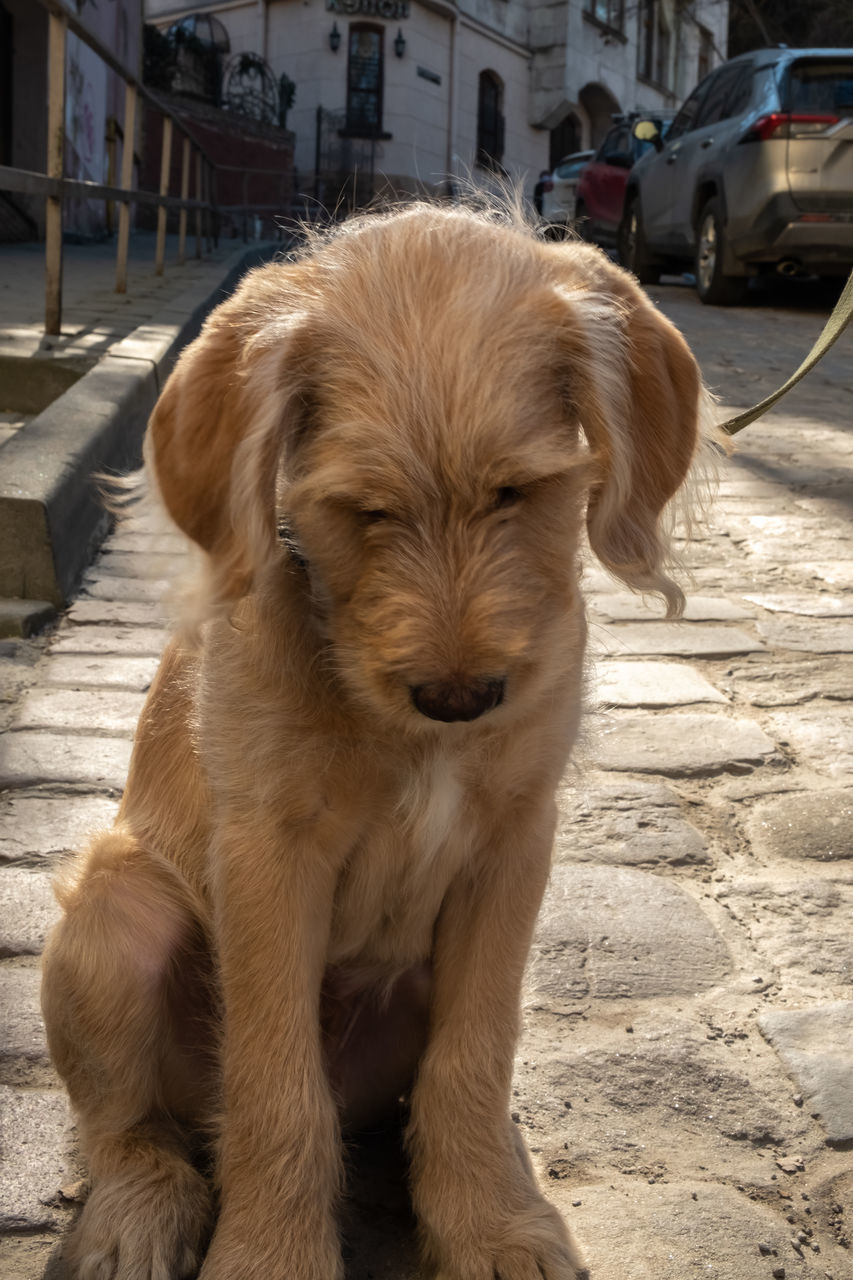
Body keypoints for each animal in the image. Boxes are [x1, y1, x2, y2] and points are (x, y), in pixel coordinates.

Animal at [44, 202, 712, 1280]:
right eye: (364, 508)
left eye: (517, 493)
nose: (460, 697)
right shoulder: (269, 856)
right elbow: (275, 1089)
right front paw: (271, 1256)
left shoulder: (513, 844)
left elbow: (473, 1056)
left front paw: (486, 1224)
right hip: (116, 913)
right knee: (131, 1127)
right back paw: (135, 1214)